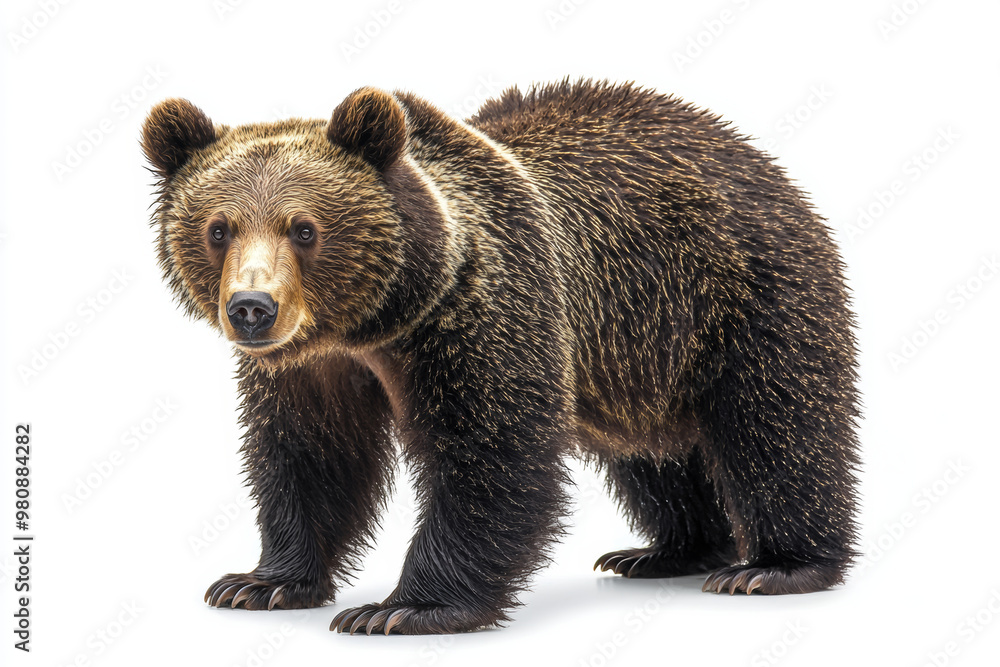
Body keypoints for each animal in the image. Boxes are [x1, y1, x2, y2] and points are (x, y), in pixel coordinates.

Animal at [141, 79, 860, 635]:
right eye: (218, 228)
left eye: (304, 228)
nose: (252, 307)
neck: (378, 324)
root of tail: (758, 158)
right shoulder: (312, 369)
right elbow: (310, 455)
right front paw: (259, 582)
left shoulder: (484, 312)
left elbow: (491, 453)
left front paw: (402, 607)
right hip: (636, 355)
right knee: (654, 453)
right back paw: (668, 551)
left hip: (741, 296)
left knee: (777, 426)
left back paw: (773, 565)